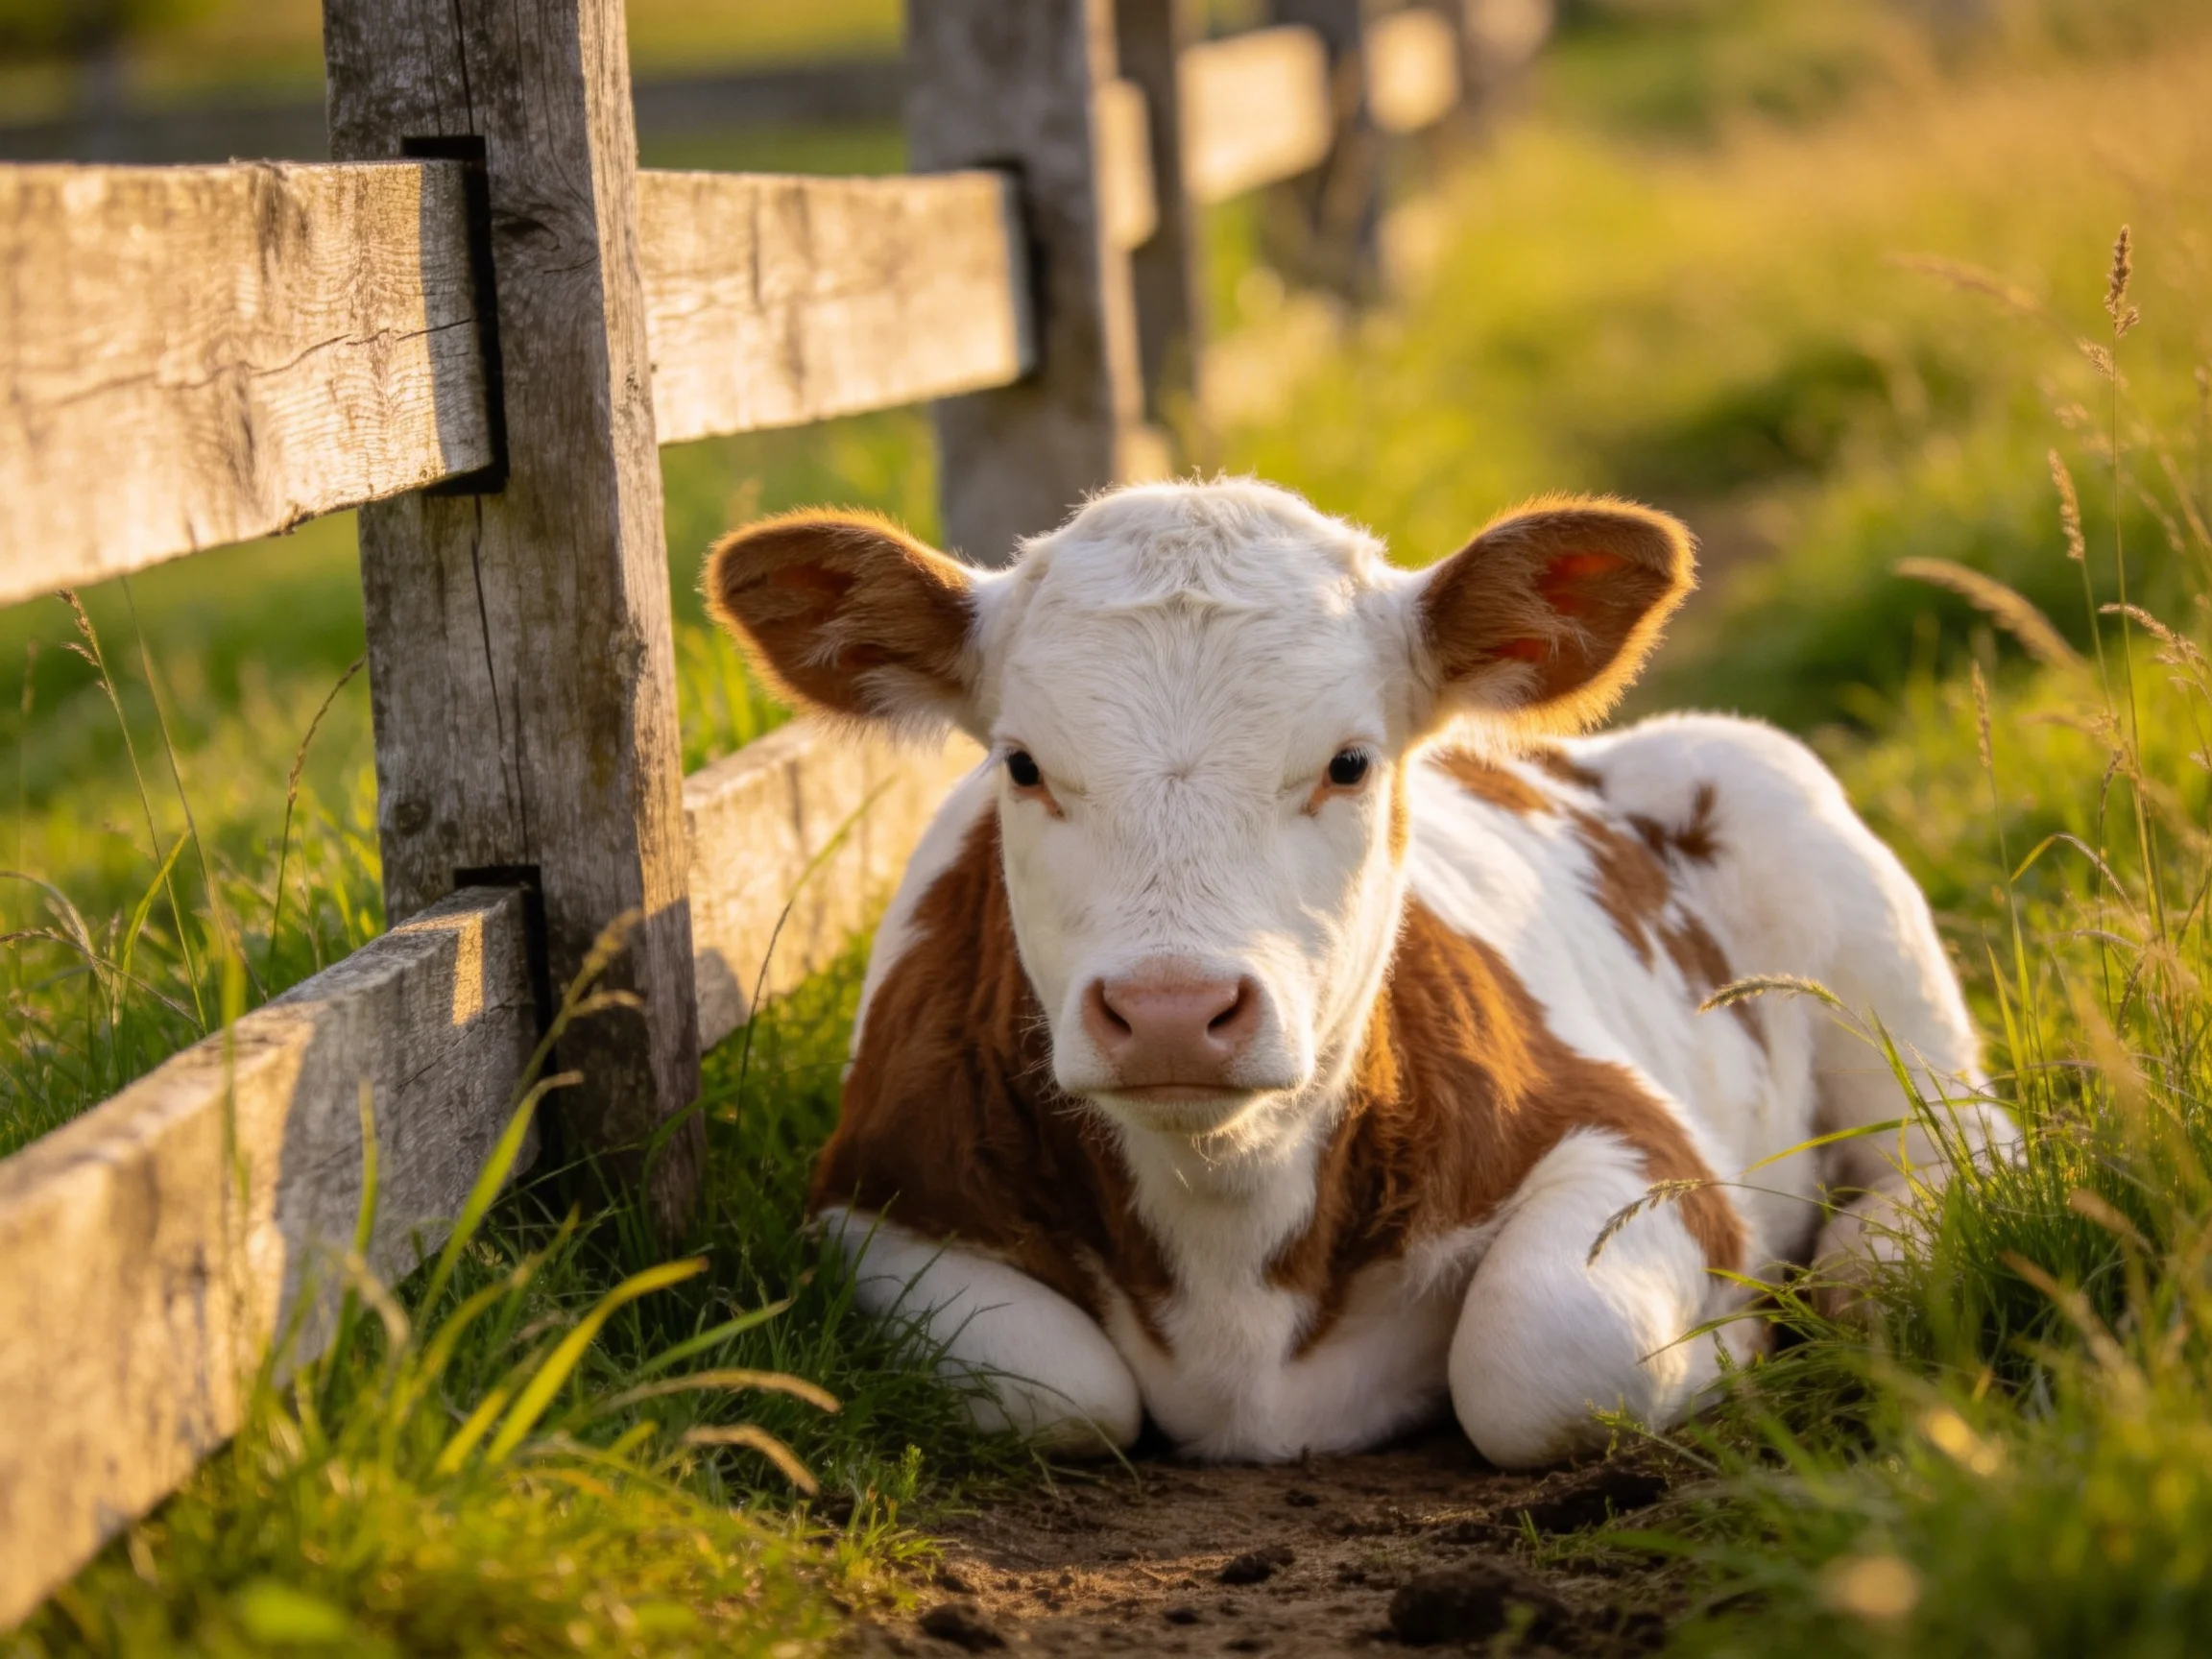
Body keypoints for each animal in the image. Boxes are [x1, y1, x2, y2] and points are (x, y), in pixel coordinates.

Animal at [704, 478, 2008, 1469]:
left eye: (1348, 762)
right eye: (1021, 765)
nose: (1172, 1011)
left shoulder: (1633, 1134)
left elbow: (1545, 1354)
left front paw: (1737, 1338)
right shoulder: (873, 1193)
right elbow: (1059, 1391)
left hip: (1853, 917)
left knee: (1954, 1147)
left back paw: (1873, 1261)